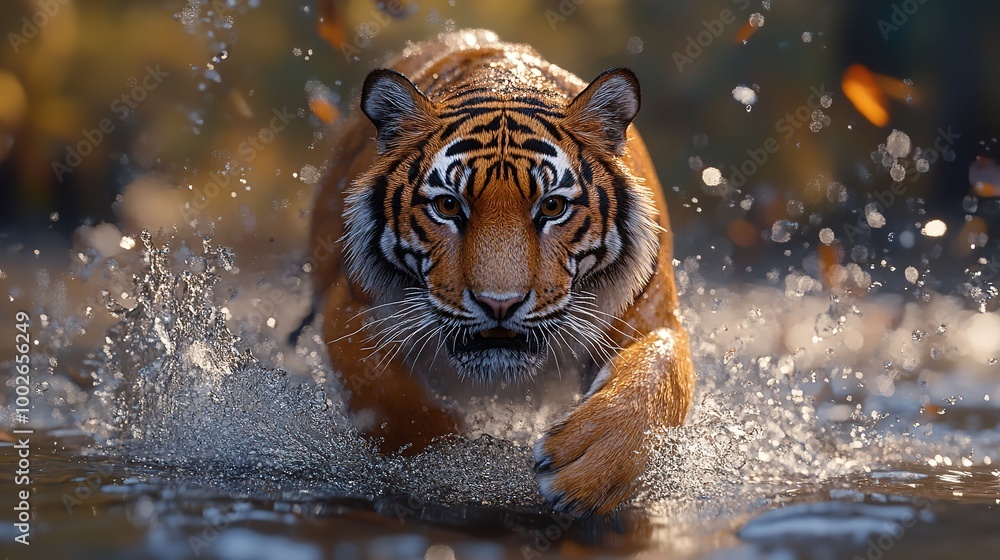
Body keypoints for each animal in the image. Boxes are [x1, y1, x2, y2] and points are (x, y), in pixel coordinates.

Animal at [308, 29, 695, 516]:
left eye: (552, 206)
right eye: (448, 205)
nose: (499, 304)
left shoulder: (650, 313)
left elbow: (658, 376)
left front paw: (588, 466)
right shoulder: (353, 308)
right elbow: (393, 402)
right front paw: (457, 462)